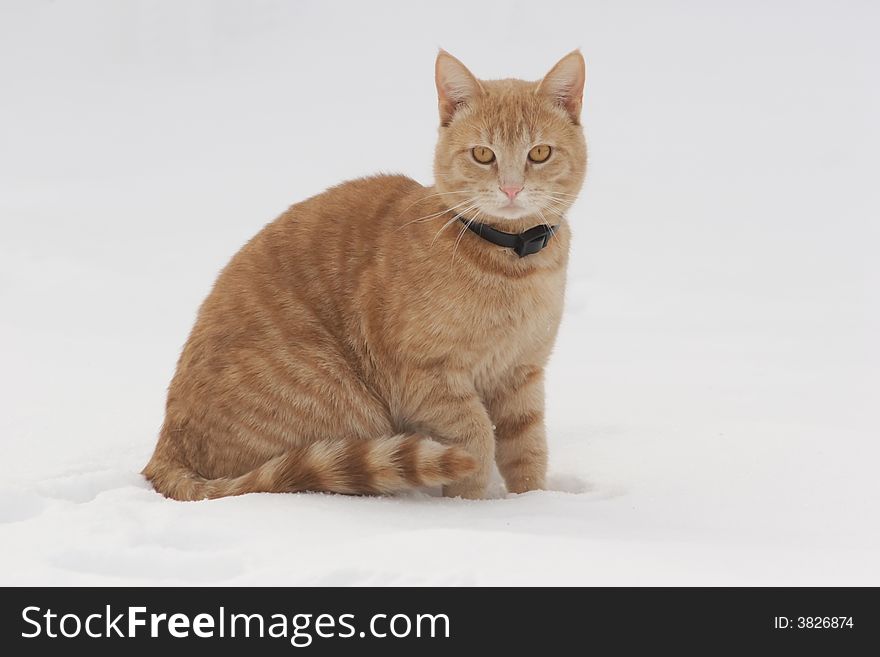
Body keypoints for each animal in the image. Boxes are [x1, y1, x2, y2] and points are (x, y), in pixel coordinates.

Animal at [143, 50, 584, 498]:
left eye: (539, 153)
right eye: (482, 155)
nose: (511, 189)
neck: (513, 262)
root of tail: (164, 453)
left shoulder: (522, 374)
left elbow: (527, 449)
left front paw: (533, 502)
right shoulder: (425, 378)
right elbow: (476, 438)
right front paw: (471, 504)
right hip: (343, 400)